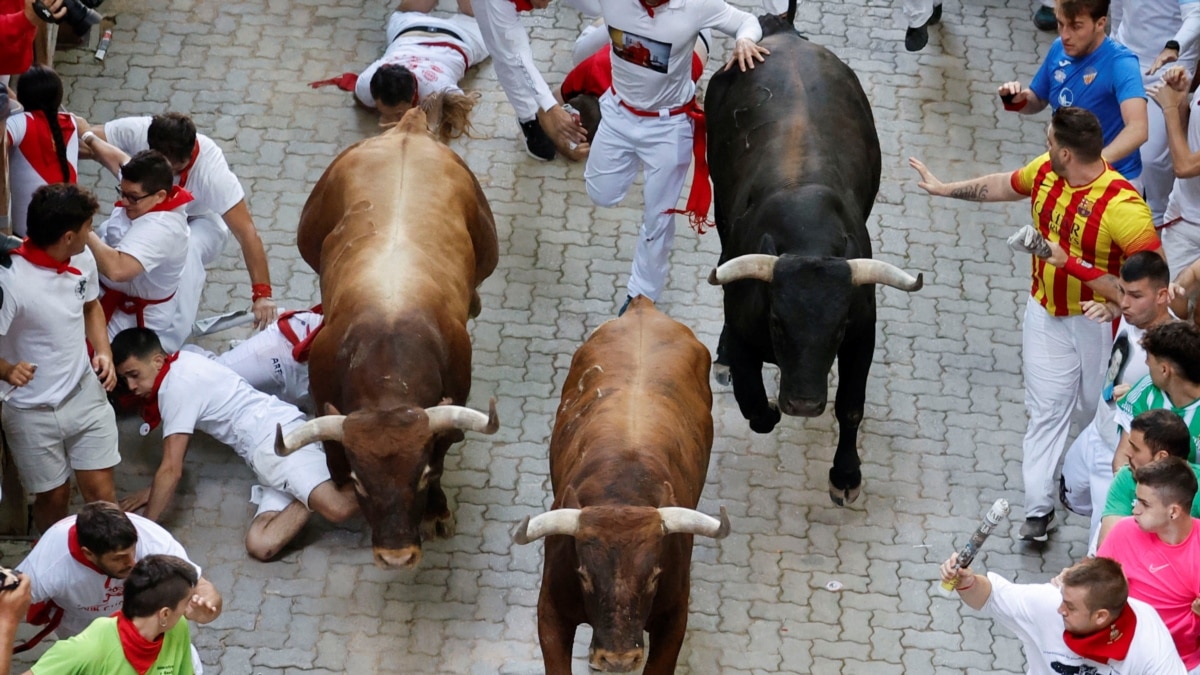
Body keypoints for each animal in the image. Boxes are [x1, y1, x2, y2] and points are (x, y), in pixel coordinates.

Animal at [278, 109, 499, 566]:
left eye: (422, 477)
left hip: (490, 250)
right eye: (362, 482)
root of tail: (409, 128)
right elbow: (333, 459)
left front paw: (436, 511)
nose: (396, 556)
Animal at [511, 296, 724, 667]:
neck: (622, 490)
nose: (618, 659)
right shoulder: (550, 612)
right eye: (583, 574)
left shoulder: (674, 618)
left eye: (655, 576)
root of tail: (643, 307)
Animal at [705, 15, 921, 502]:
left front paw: (845, 475)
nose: (803, 404)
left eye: (837, 326)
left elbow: (851, 407)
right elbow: (753, 402)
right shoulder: (746, 328)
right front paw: (765, 405)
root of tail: (783, 33)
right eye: (776, 320)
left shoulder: (862, 335)